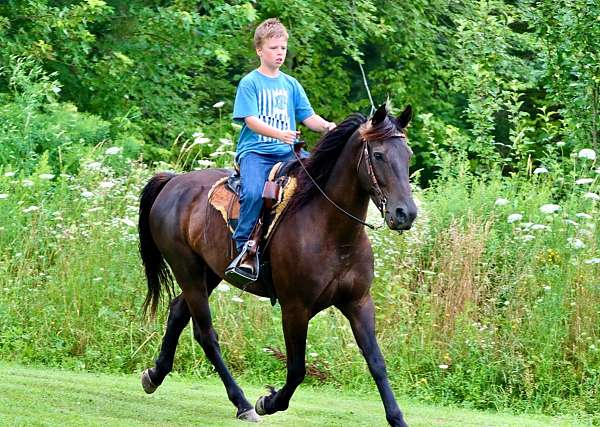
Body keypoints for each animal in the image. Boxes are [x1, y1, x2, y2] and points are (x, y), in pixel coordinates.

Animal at [137, 104, 418, 427]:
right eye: (379, 155)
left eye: (408, 154)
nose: (406, 213)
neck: (331, 230)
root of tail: (172, 181)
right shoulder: (295, 307)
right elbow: (297, 369)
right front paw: (267, 402)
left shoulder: (359, 302)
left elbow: (376, 362)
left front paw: (397, 418)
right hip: (188, 270)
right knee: (206, 334)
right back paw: (243, 403)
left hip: (209, 274)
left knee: (178, 313)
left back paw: (154, 375)